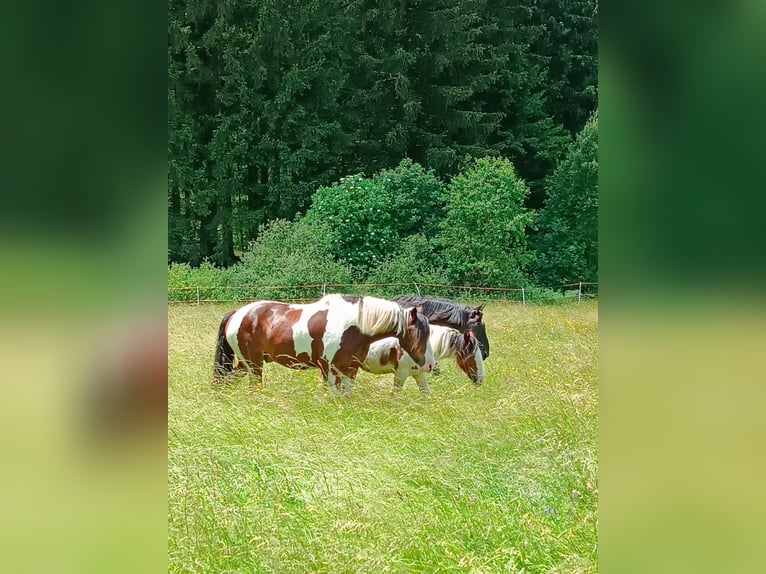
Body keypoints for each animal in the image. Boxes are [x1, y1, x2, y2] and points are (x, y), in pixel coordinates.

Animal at [213, 293, 434, 395]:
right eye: (421, 334)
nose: (430, 364)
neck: (353, 326)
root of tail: (237, 314)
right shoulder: (330, 369)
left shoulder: (350, 369)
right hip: (254, 365)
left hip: (247, 364)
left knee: (227, 380)